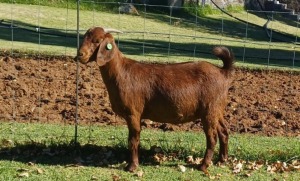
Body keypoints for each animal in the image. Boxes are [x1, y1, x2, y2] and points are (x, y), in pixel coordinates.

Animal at [75, 26, 234, 174]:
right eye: (84, 38)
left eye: (97, 41)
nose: (79, 55)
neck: (121, 72)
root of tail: (223, 73)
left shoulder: (133, 113)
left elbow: (133, 140)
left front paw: (132, 166)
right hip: (217, 109)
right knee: (224, 131)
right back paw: (222, 160)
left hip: (209, 110)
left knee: (212, 137)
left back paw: (203, 165)